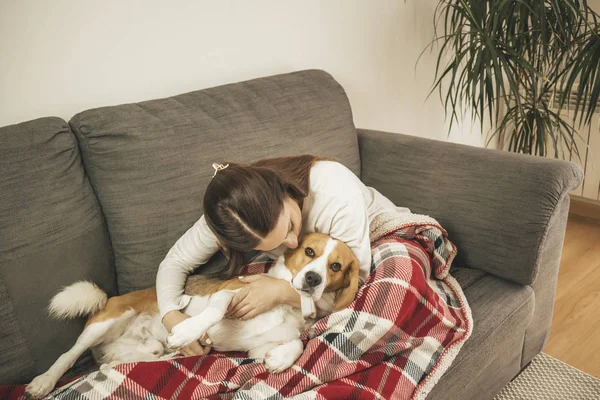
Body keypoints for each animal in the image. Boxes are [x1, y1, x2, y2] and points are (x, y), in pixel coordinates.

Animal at [25, 233, 358, 398]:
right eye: (310, 252)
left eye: (336, 266)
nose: (313, 279)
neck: (289, 303)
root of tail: (110, 297)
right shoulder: (228, 293)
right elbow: (214, 310)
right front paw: (188, 330)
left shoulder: (258, 347)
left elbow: (297, 343)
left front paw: (279, 360)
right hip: (103, 324)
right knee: (68, 355)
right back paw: (43, 382)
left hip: (150, 354)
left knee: (117, 364)